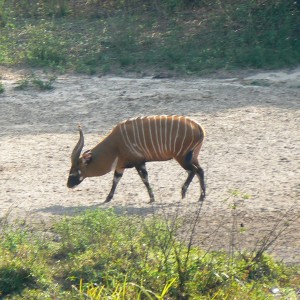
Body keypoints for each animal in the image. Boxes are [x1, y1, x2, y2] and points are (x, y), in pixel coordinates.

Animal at [67, 116, 205, 203]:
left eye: (75, 169)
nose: (69, 185)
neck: (115, 145)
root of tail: (198, 127)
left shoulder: (139, 163)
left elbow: (145, 179)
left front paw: (152, 198)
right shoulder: (120, 167)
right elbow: (115, 180)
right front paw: (107, 198)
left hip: (181, 157)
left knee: (193, 171)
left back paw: (183, 193)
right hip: (192, 157)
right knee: (200, 171)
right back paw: (201, 197)